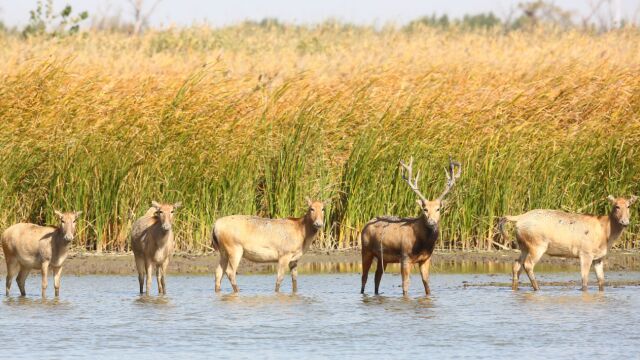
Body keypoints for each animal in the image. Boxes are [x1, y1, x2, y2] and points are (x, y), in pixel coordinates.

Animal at [360, 157, 460, 296]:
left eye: (438, 209)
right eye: (424, 209)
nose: (431, 222)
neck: (422, 243)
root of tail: (365, 225)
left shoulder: (426, 258)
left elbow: (427, 284)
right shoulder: (405, 257)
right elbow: (405, 285)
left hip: (382, 257)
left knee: (377, 276)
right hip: (366, 249)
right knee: (364, 277)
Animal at [502, 194, 636, 292]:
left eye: (629, 206)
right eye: (616, 206)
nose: (625, 222)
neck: (606, 234)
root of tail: (519, 218)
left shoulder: (599, 257)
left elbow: (601, 281)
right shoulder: (585, 253)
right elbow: (584, 280)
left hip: (524, 246)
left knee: (516, 265)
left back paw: (515, 288)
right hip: (537, 245)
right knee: (528, 264)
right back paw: (537, 288)